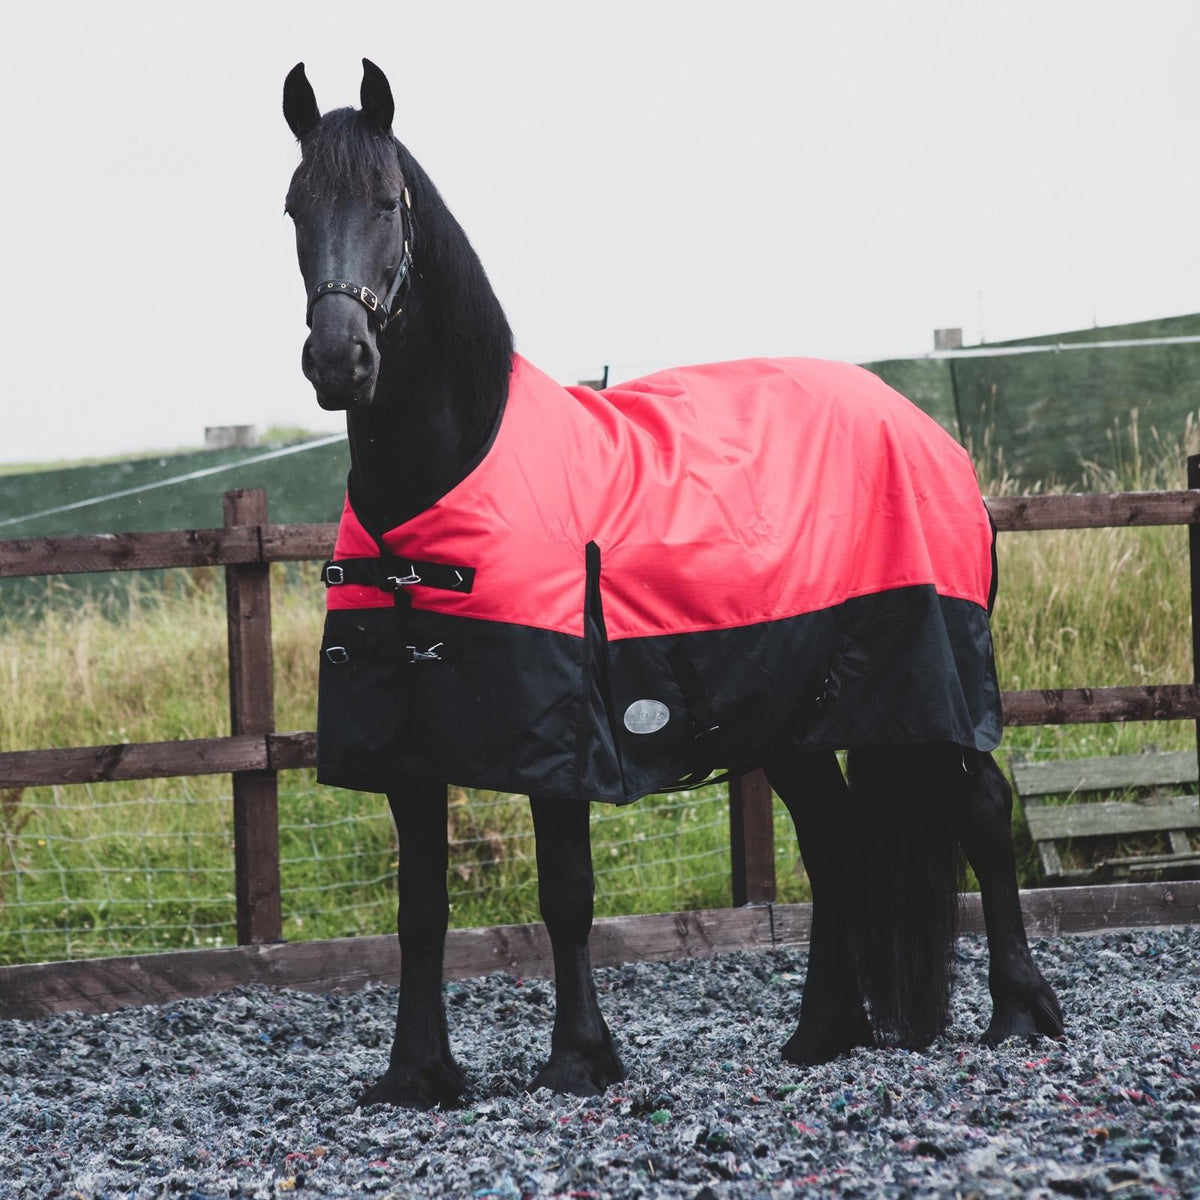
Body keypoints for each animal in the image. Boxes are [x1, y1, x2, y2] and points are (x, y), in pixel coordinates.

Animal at [281, 59, 1064, 1110]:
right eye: (294, 207)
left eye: (386, 202)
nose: (339, 360)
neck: (449, 479)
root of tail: (935, 437)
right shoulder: (407, 747)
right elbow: (420, 910)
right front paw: (417, 1075)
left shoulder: (562, 734)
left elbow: (566, 893)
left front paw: (579, 1058)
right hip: (794, 712)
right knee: (835, 839)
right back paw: (824, 1034)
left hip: (933, 677)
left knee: (979, 807)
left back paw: (1018, 1015)